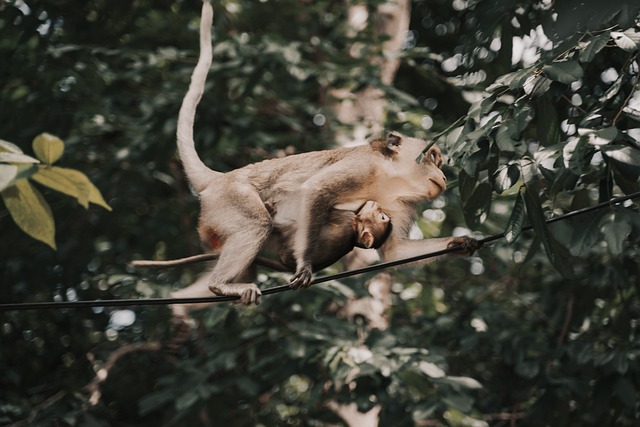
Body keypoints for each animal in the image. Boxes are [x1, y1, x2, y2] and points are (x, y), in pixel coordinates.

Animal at [172, 1, 478, 306]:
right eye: (432, 158)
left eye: (439, 162)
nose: (442, 175)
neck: (389, 178)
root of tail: (220, 178)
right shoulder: (364, 166)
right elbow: (316, 189)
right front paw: (305, 265)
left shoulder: (400, 203)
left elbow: (395, 252)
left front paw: (460, 242)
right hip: (229, 198)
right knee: (256, 224)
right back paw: (221, 285)